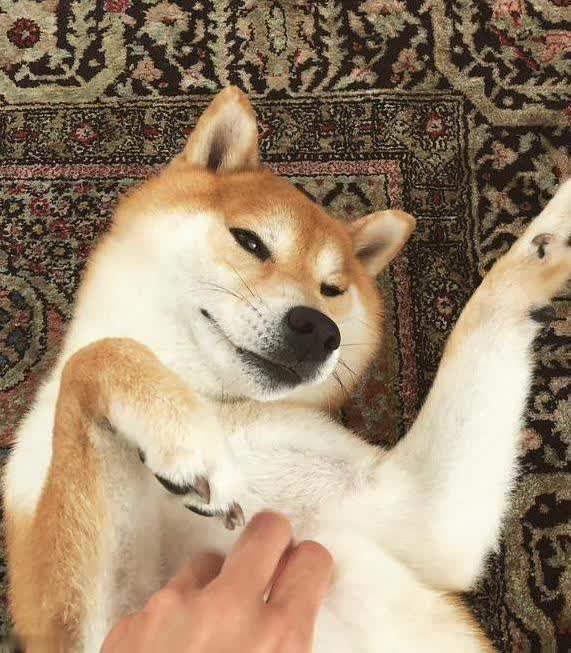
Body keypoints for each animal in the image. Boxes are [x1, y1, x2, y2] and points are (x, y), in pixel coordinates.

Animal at [3, 87, 570, 652]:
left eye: (333, 289)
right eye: (250, 241)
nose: (320, 330)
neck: (209, 400)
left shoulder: (426, 511)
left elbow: (490, 302)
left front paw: (553, 234)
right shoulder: (86, 626)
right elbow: (94, 356)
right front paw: (183, 437)